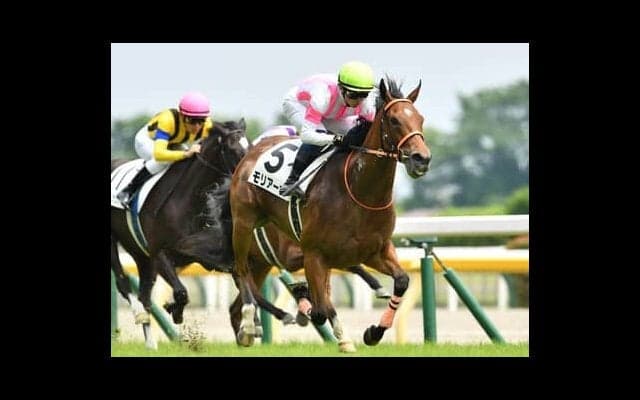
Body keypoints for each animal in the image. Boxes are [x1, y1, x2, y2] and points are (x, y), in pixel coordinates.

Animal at [229, 77, 431, 351]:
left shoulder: (375, 251)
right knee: (242, 272)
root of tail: (252, 150)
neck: (360, 191)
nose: (422, 159)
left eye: (420, 118)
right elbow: (325, 307)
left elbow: (401, 281)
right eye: (394, 120)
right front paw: (345, 341)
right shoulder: (314, 254)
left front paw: (374, 332)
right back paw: (250, 324)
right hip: (243, 224)